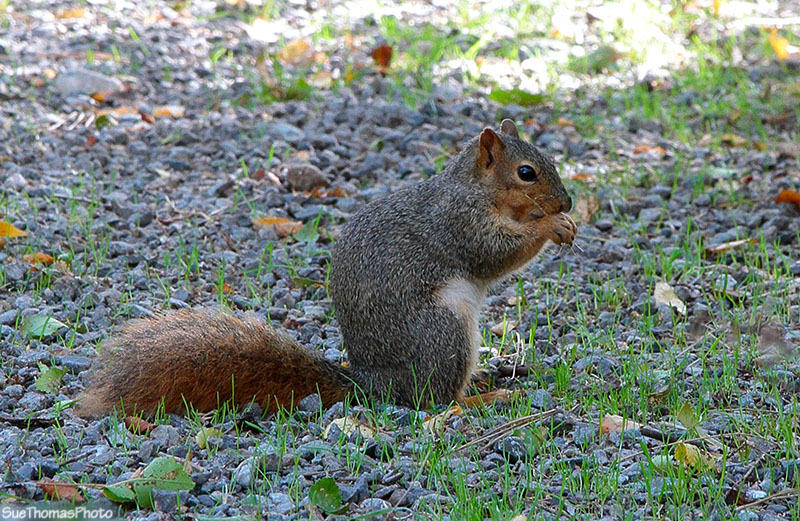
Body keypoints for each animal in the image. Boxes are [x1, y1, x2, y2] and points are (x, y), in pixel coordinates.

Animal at [74, 119, 577, 417]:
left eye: (551, 160)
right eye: (527, 172)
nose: (567, 202)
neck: (476, 189)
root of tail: (375, 385)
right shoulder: (459, 223)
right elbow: (493, 253)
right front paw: (550, 225)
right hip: (443, 330)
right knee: (436, 401)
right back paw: (484, 397)